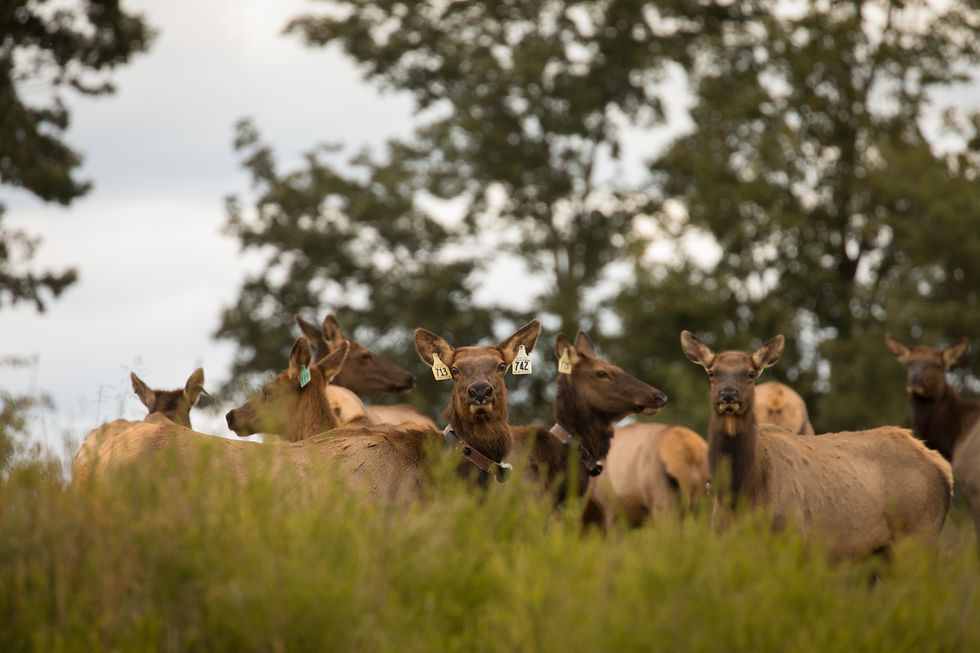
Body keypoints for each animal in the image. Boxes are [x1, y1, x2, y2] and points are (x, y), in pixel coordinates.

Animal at [681, 330, 953, 560]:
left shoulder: (793, 537)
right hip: (880, 551)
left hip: (920, 534)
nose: (728, 395)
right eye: (712, 372)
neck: (743, 493)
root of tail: (944, 468)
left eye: (750, 373)